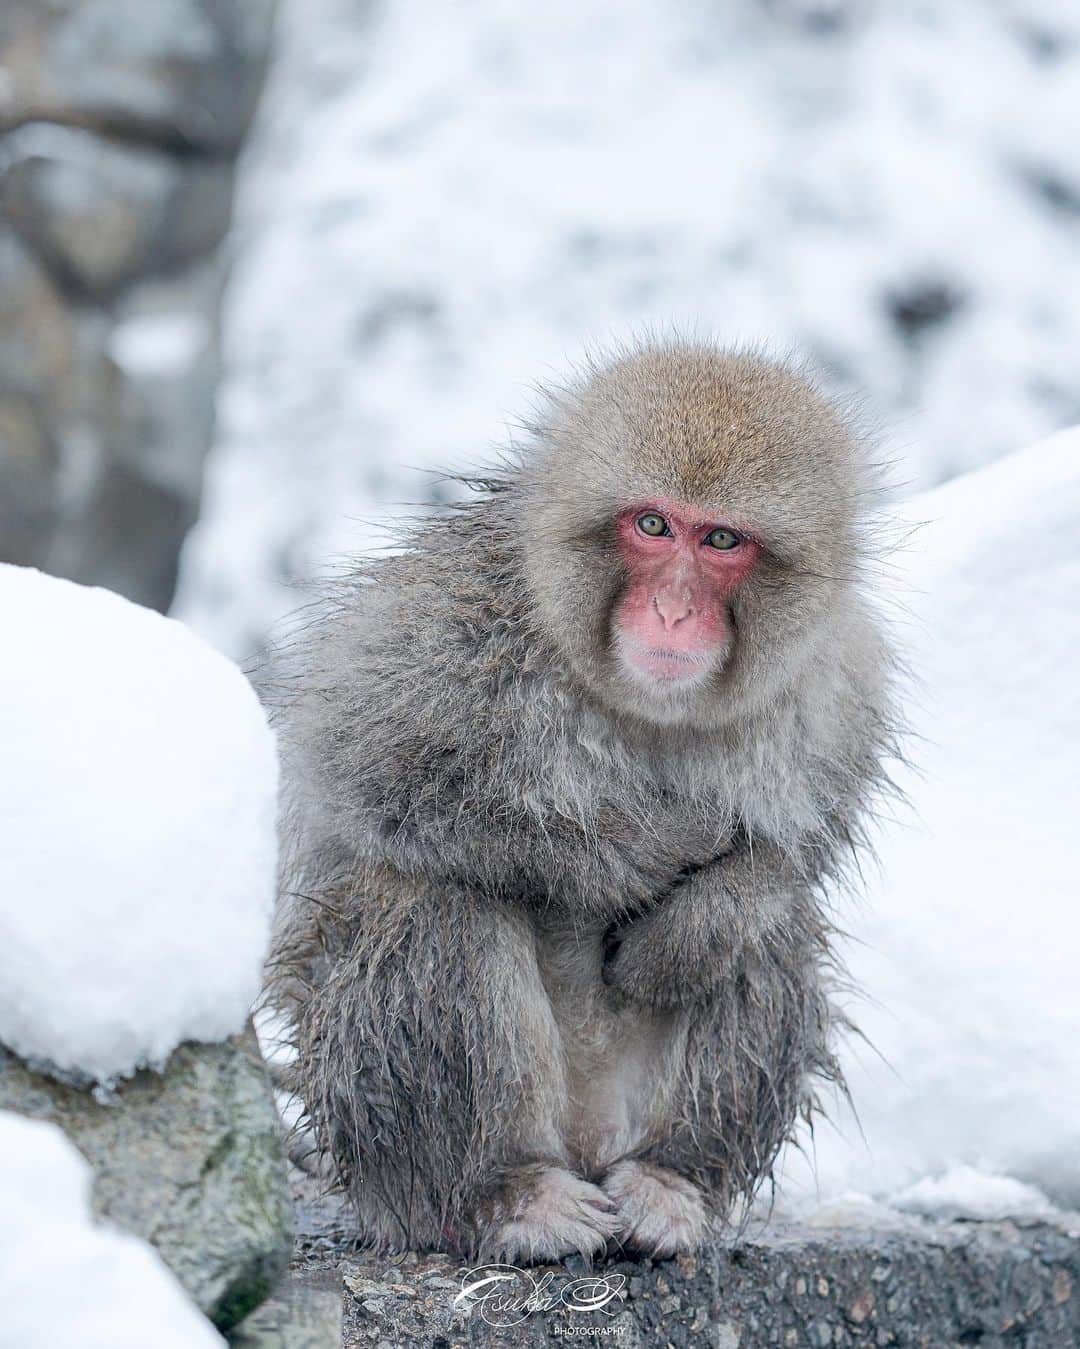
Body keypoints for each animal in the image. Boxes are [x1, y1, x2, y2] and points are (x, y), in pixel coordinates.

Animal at [266, 339, 895, 1262]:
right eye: (652, 526)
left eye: (722, 539)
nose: (673, 608)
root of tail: (587, 1144)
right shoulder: (451, 623)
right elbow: (356, 766)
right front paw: (642, 845)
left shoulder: (842, 683)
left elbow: (791, 861)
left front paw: (688, 929)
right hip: (374, 1131)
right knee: (432, 898)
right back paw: (499, 1191)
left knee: (769, 931)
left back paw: (674, 1176)